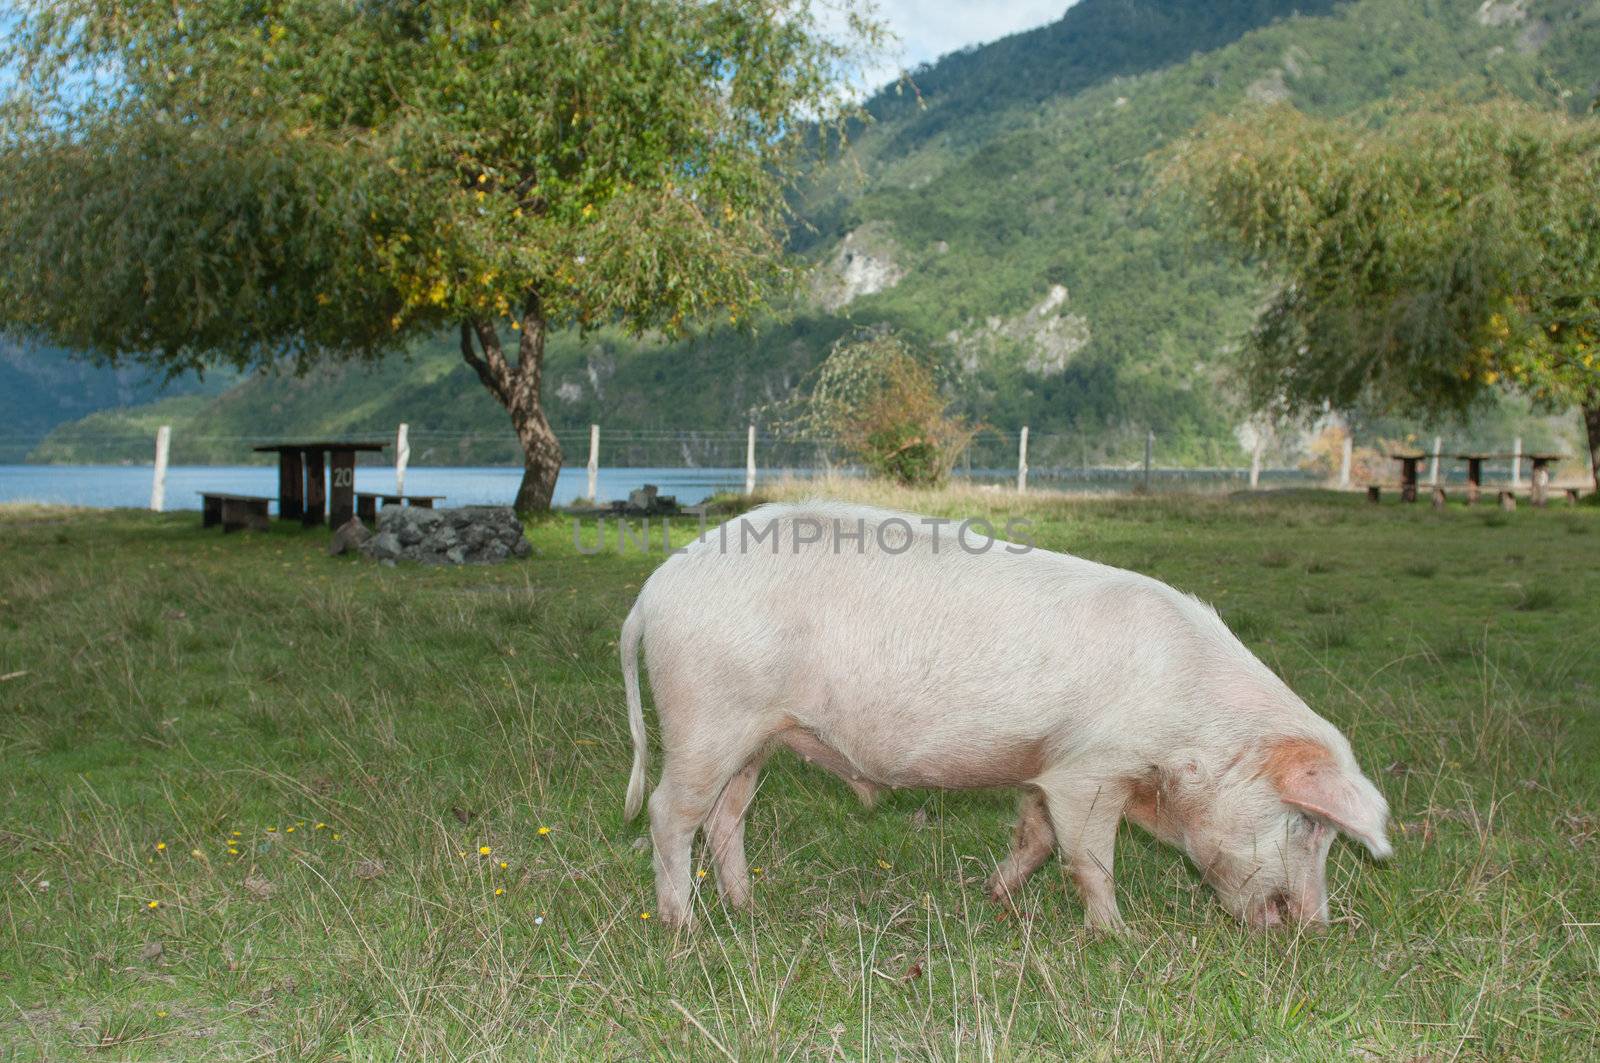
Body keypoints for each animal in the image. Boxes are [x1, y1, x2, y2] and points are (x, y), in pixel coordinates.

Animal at [617, 502, 1395, 928]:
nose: (1313, 926)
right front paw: (1119, 936)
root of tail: (654, 590)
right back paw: (684, 928)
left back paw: (750, 908)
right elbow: (1089, 855)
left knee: (726, 817)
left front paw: (995, 897)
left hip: (754, 735)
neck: (1189, 723)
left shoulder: (1044, 764)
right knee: (667, 812)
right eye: (1308, 824)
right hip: (706, 715)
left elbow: (1037, 836)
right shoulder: (1089, 768)